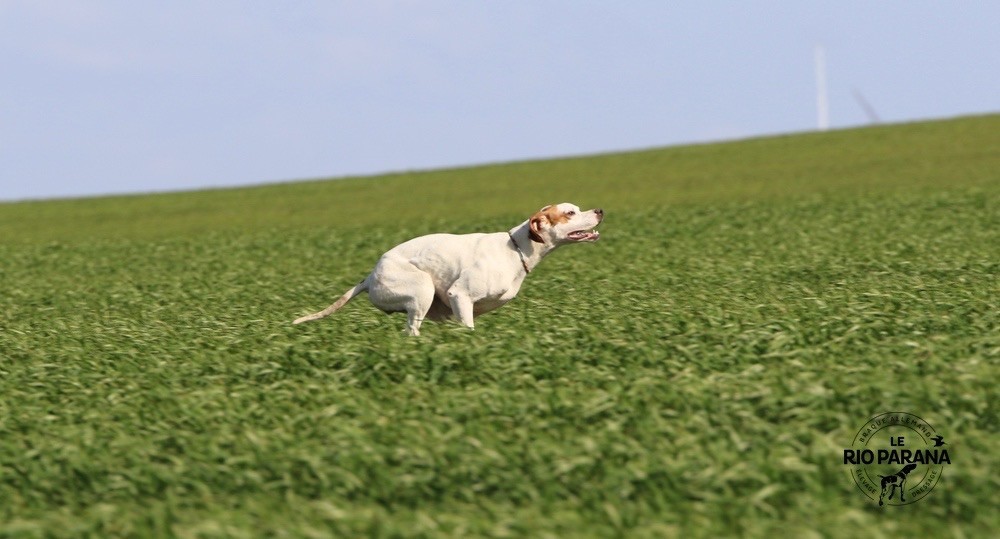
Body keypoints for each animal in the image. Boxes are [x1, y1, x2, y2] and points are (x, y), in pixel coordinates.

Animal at [292, 204, 604, 336]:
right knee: (410, 331)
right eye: (570, 213)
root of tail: (370, 277)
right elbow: (469, 329)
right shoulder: (460, 296)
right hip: (421, 290)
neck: (516, 248)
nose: (599, 210)